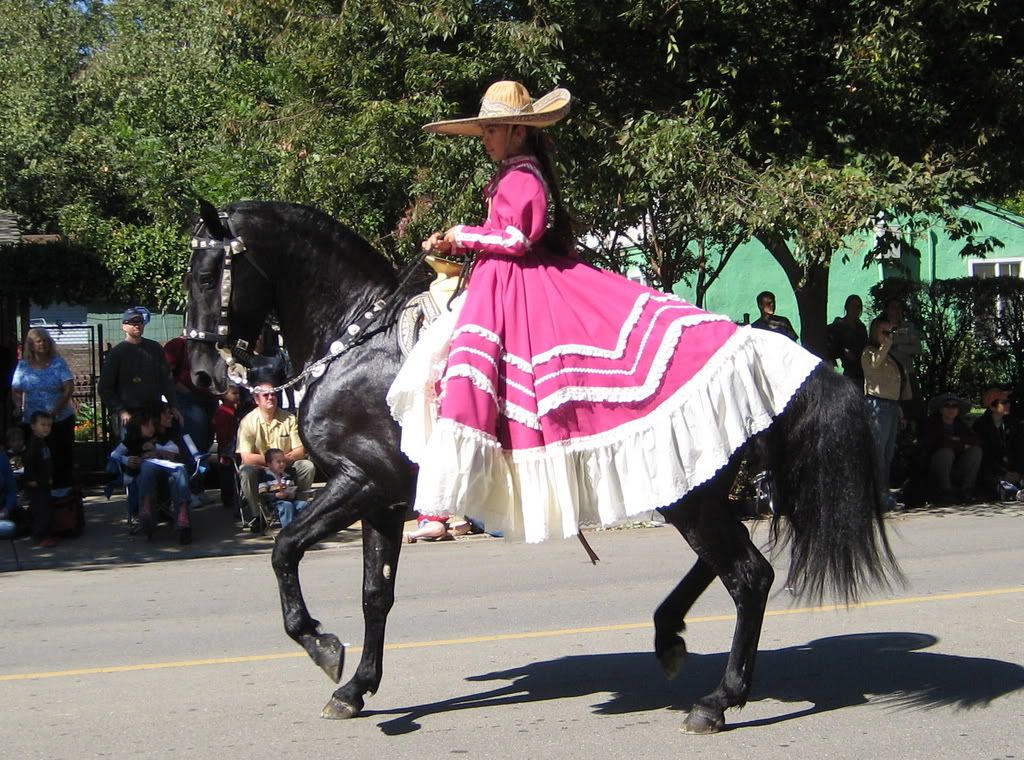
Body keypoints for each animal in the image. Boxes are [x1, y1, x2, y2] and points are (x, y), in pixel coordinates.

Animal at [184, 199, 897, 733]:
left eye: (205, 272)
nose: (202, 375)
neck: (357, 344)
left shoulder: (359, 482)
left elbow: (284, 550)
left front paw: (321, 646)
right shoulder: (382, 501)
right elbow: (374, 595)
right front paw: (357, 685)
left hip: (688, 492)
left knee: (748, 575)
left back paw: (717, 702)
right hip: (691, 484)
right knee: (732, 564)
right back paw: (669, 637)